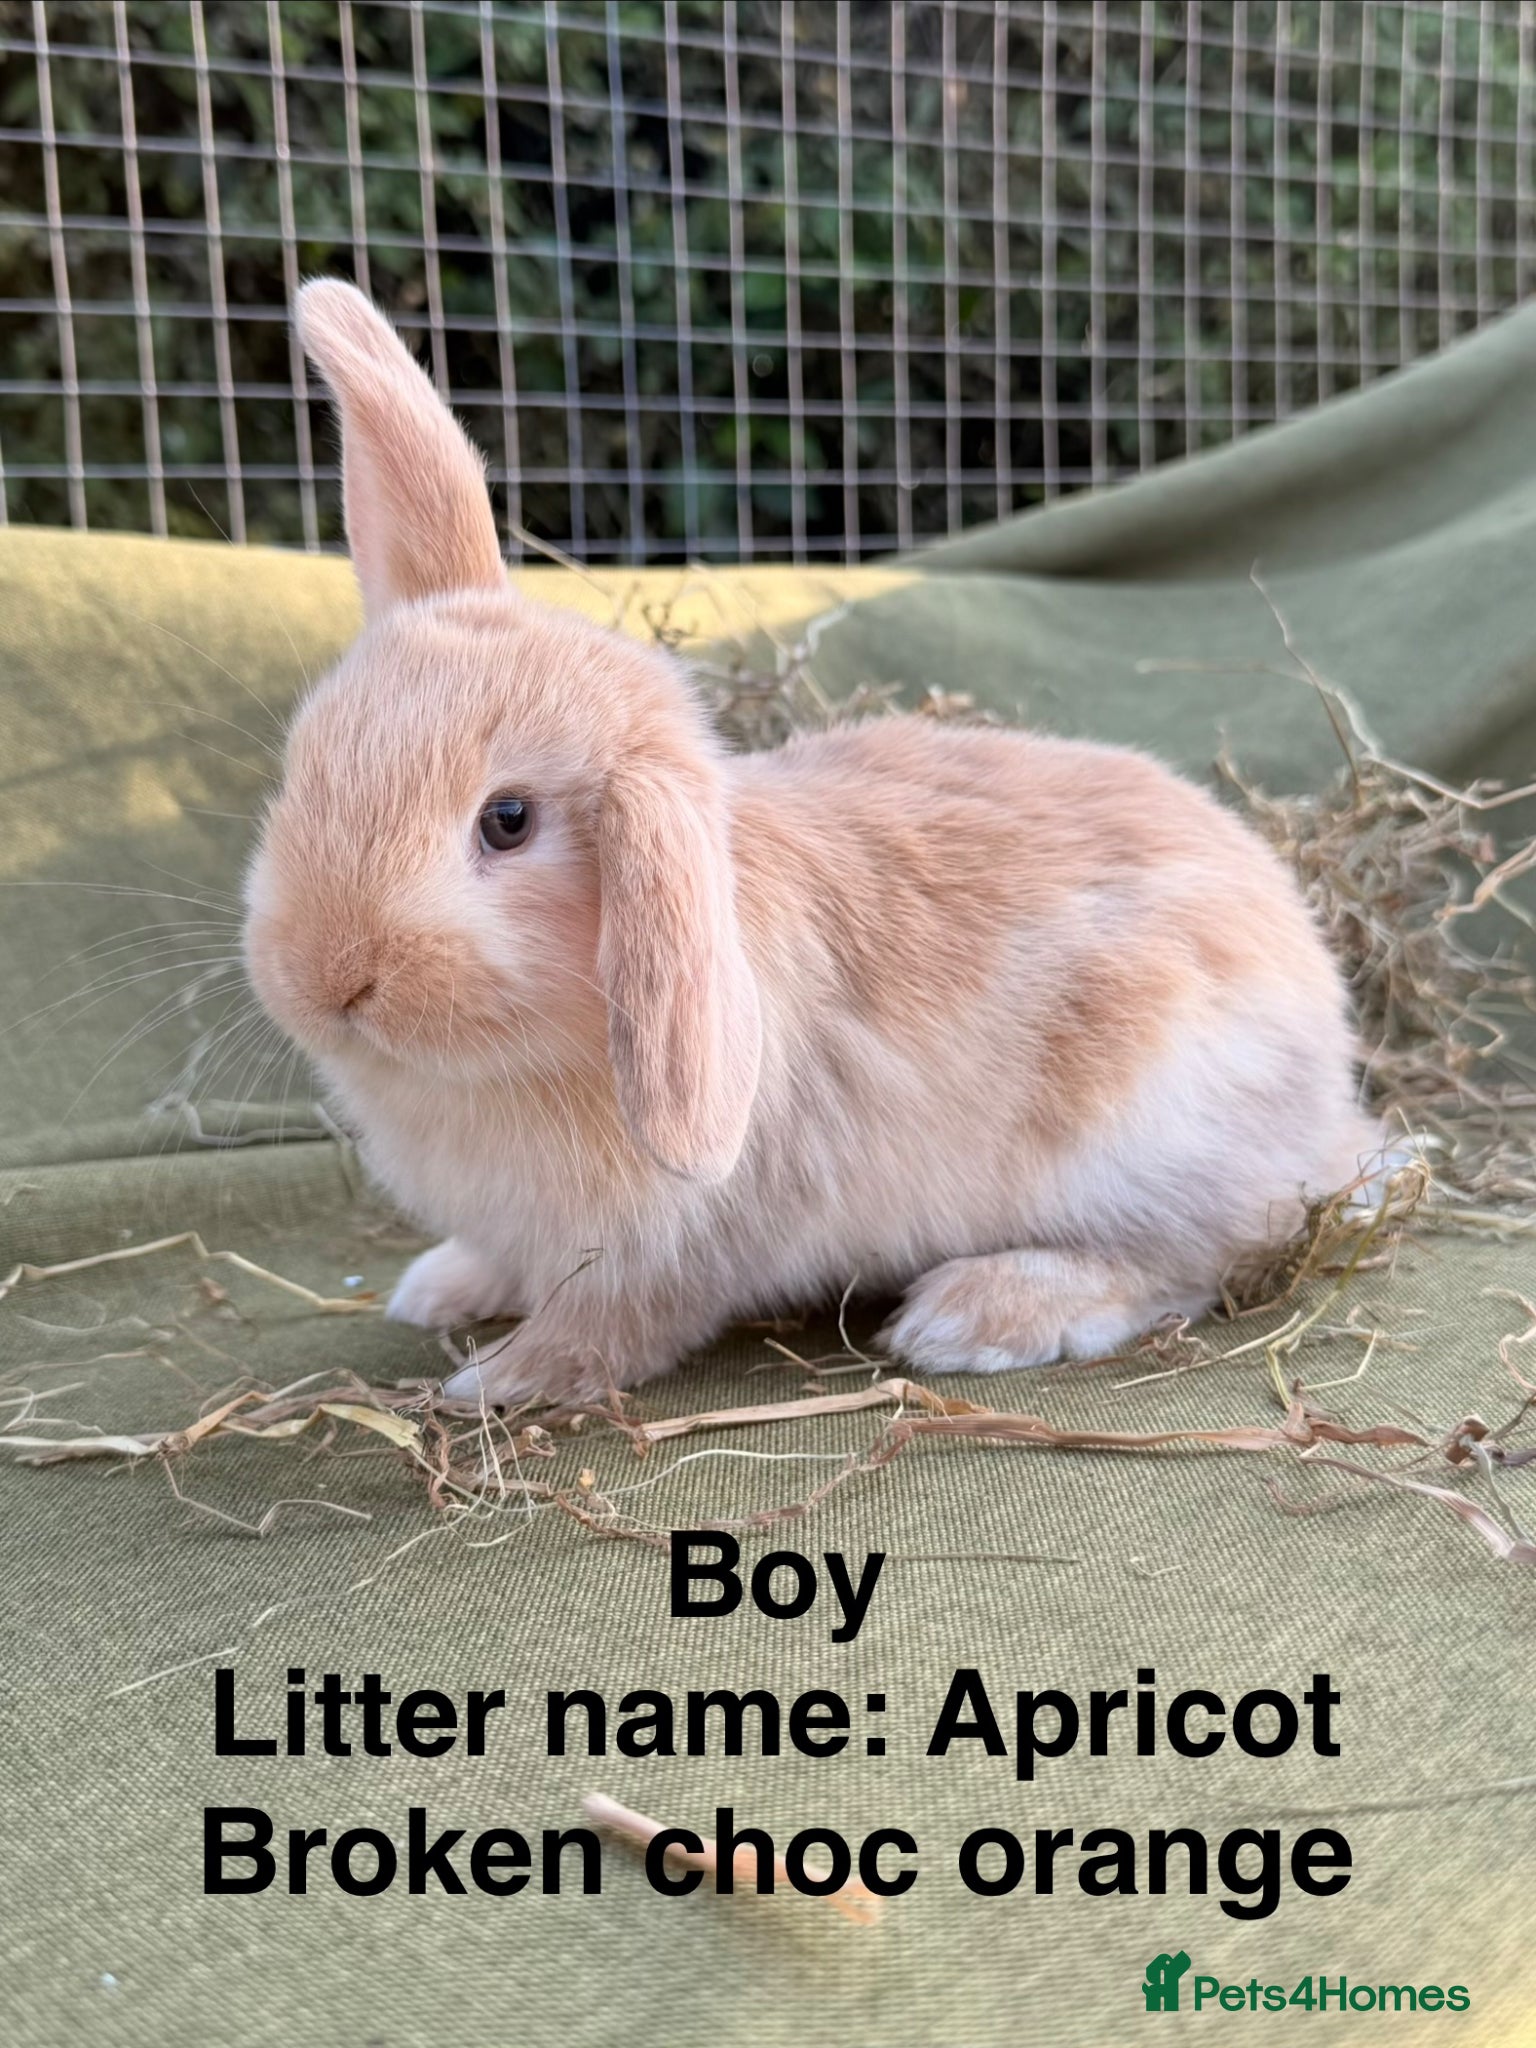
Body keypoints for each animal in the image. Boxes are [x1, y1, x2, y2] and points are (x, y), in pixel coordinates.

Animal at [242, 278, 1380, 1406]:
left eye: (507, 820)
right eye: (303, 763)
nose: (326, 978)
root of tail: (1330, 1071)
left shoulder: (676, 1246)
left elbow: (617, 1325)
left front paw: (503, 1378)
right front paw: (442, 1288)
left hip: (1146, 1131)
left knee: (1202, 1255)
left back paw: (976, 1313)